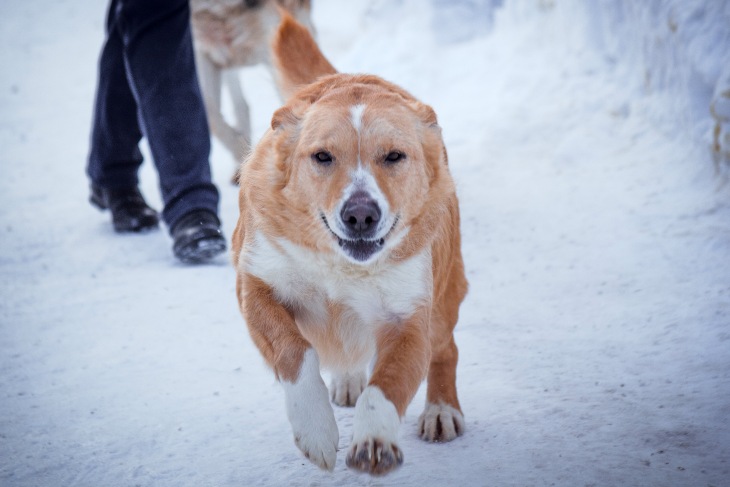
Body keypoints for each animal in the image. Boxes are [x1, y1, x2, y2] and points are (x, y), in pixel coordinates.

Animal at [231, 11, 468, 475]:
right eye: (322, 156)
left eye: (394, 156)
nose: (360, 214)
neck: (342, 267)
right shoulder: (256, 286)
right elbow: (297, 353)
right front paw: (317, 431)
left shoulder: (410, 319)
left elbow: (385, 387)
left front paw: (374, 440)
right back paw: (346, 381)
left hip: (445, 293)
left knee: (446, 348)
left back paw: (441, 410)